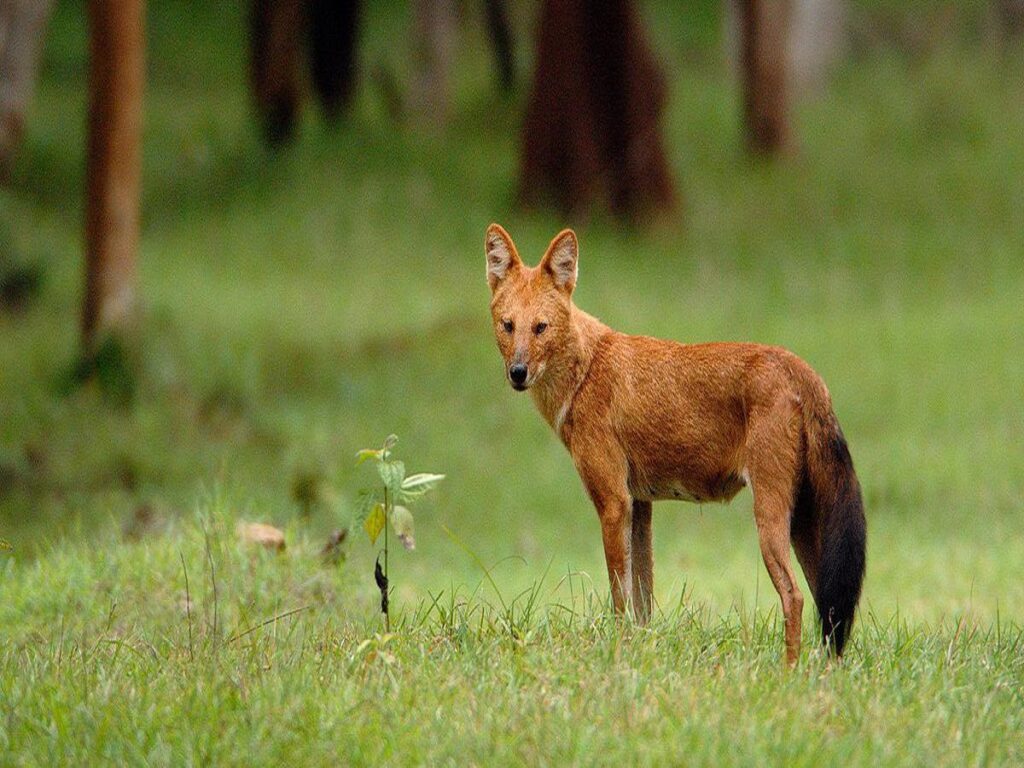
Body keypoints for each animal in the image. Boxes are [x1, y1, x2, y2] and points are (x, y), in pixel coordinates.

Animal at [485, 224, 864, 667]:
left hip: (770, 516)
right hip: (804, 523)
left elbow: (619, 597)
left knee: (796, 597)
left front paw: (617, 652)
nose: (518, 372)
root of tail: (799, 366)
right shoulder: (640, 504)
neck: (584, 372)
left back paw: (786, 673)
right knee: (830, 605)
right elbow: (643, 600)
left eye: (540, 327)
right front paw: (640, 652)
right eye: (508, 325)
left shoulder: (614, 501)